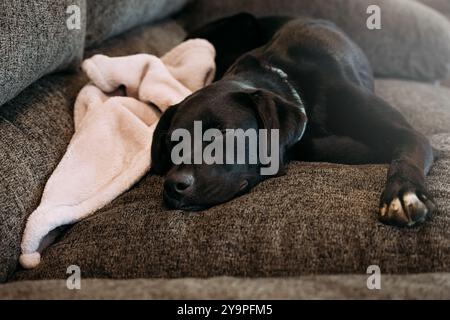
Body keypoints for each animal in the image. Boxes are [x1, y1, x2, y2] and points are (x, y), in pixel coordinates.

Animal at [152, 13, 436, 228]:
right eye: (172, 144)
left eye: (221, 134)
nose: (173, 186)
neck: (287, 78)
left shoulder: (407, 132)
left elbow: (406, 152)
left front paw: (403, 193)